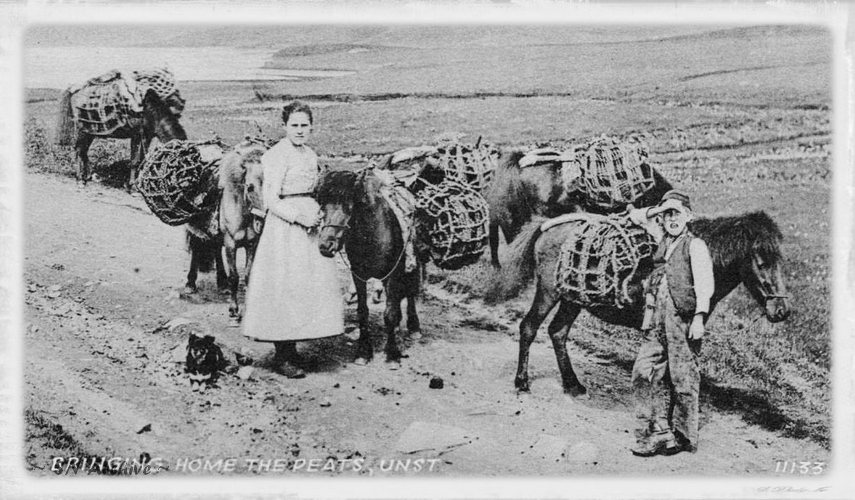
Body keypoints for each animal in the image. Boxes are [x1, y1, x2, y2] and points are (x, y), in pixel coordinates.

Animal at [56, 82, 186, 191]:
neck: (149, 110)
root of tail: (75, 91)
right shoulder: (137, 136)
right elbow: (135, 161)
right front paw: (133, 187)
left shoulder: (147, 137)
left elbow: (142, 160)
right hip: (83, 131)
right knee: (78, 151)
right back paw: (80, 180)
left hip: (90, 132)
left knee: (83, 151)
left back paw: (89, 176)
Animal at [316, 168, 422, 364]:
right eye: (323, 206)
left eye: (349, 207)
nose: (326, 246)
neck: (372, 235)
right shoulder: (359, 275)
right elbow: (363, 311)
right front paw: (364, 352)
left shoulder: (393, 274)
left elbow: (389, 313)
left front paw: (392, 354)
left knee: (410, 292)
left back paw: (414, 328)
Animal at [492, 210, 792, 394]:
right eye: (762, 262)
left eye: (781, 260)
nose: (782, 311)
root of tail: (549, 225)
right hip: (548, 292)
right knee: (529, 327)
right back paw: (522, 382)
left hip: (571, 299)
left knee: (557, 332)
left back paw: (572, 384)